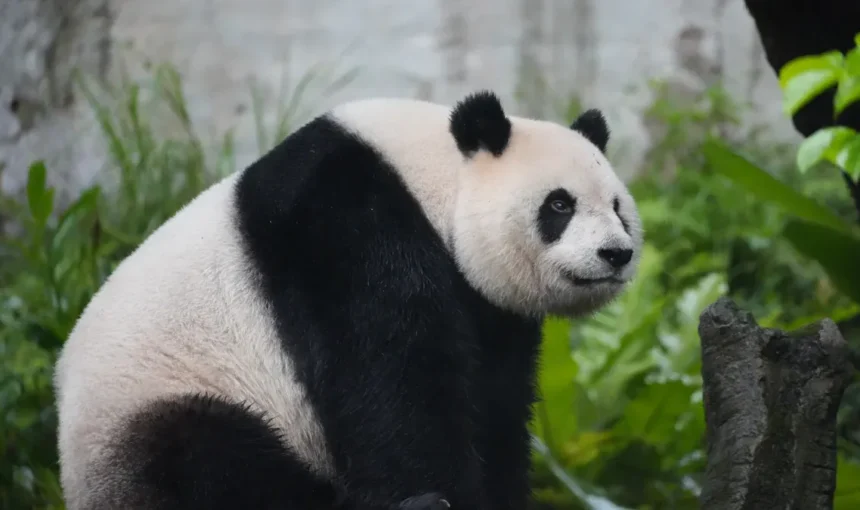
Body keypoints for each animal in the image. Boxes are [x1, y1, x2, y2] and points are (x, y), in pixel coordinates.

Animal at [53, 90, 642, 510]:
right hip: (149, 404)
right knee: (204, 460)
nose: (615, 254)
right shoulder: (345, 229)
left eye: (618, 207)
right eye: (559, 205)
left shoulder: (490, 310)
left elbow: (494, 406)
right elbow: (394, 386)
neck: (428, 174)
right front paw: (435, 492)